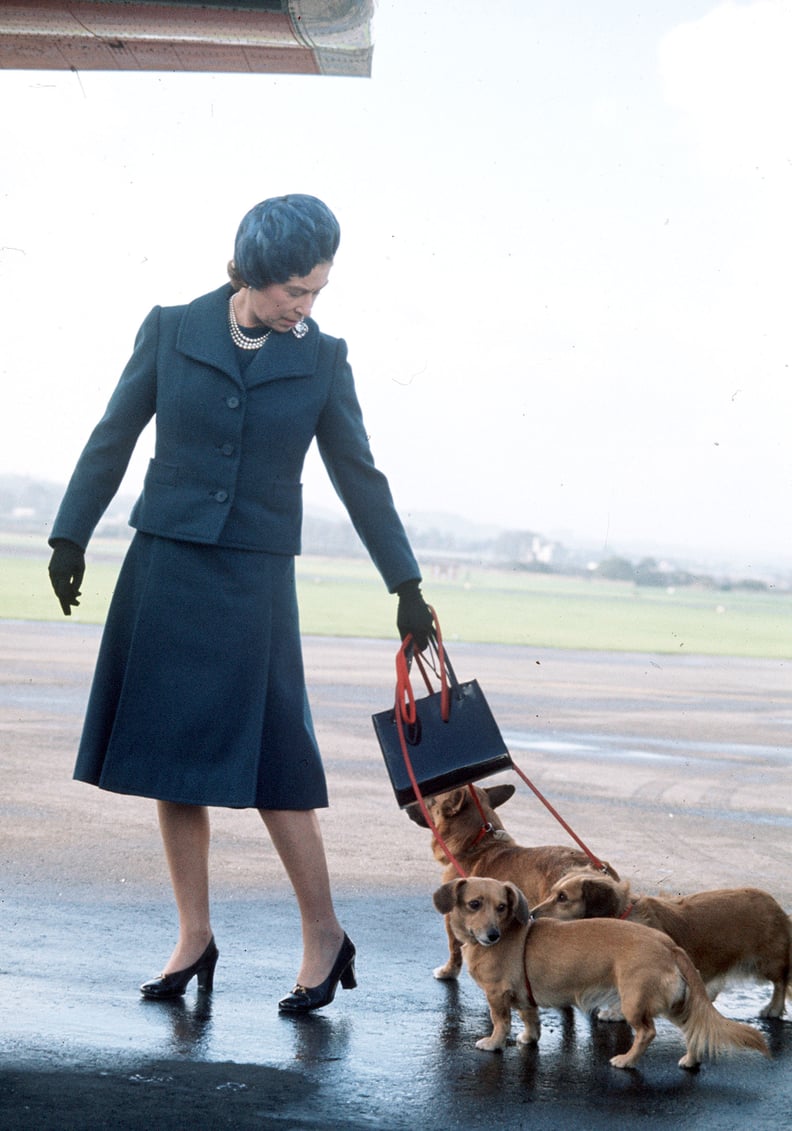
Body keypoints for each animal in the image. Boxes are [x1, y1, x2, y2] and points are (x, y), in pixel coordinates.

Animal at [529, 868, 787, 1022]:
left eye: (563, 897)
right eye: (552, 893)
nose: (531, 914)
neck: (622, 916)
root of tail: (774, 904)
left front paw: (616, 1012)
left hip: (767, 963)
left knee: (781, 983)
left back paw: (773, 1009)